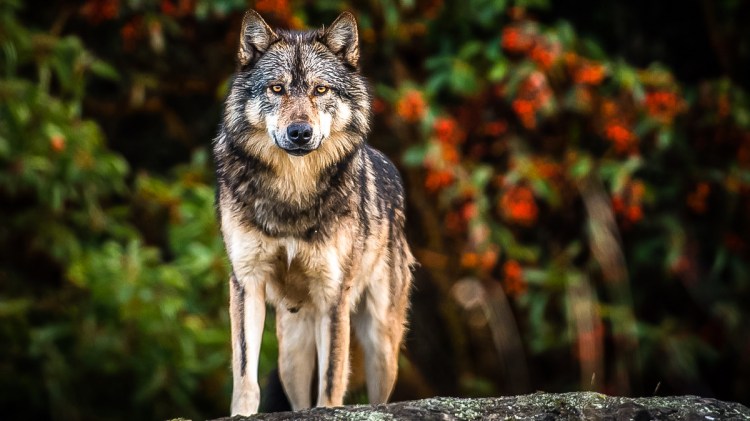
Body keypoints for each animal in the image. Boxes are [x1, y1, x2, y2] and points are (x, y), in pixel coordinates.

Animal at [213, 10, 415, 416]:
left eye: (320, 90)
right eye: (277, 89)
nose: (300, 133)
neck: (294, 191)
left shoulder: (333, 293)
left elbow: (332, 379)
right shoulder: (246, 281)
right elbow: (245, 373)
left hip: (381, 344)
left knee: (378, 395)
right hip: (291, 353)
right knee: (296, 397)